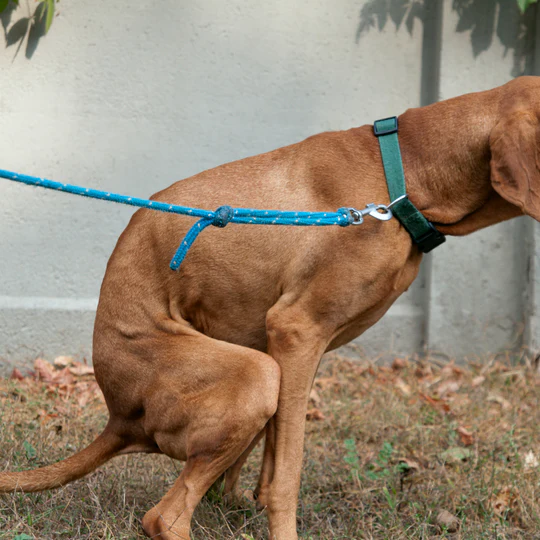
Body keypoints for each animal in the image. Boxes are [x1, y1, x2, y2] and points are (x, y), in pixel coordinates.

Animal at [0, 75, 532, 536]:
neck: (401, 176)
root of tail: (119, 416)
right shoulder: (297, 332)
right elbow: (287, 475)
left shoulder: (296, 351)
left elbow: (276, 460)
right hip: (256, 374)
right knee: (164, 518)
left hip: (260, 364)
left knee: (214, 485)